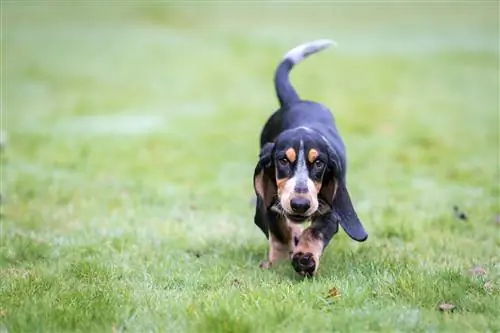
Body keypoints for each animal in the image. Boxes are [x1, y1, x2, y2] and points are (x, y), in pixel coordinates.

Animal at [254, 39, 368, 278]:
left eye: (319, 163)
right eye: (283, 161)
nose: (300, 204)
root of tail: (297, 101)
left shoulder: (332, 211)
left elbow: (315, 232)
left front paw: (305, 257)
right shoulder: (270, 202)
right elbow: (280, 232)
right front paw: (279, 259)